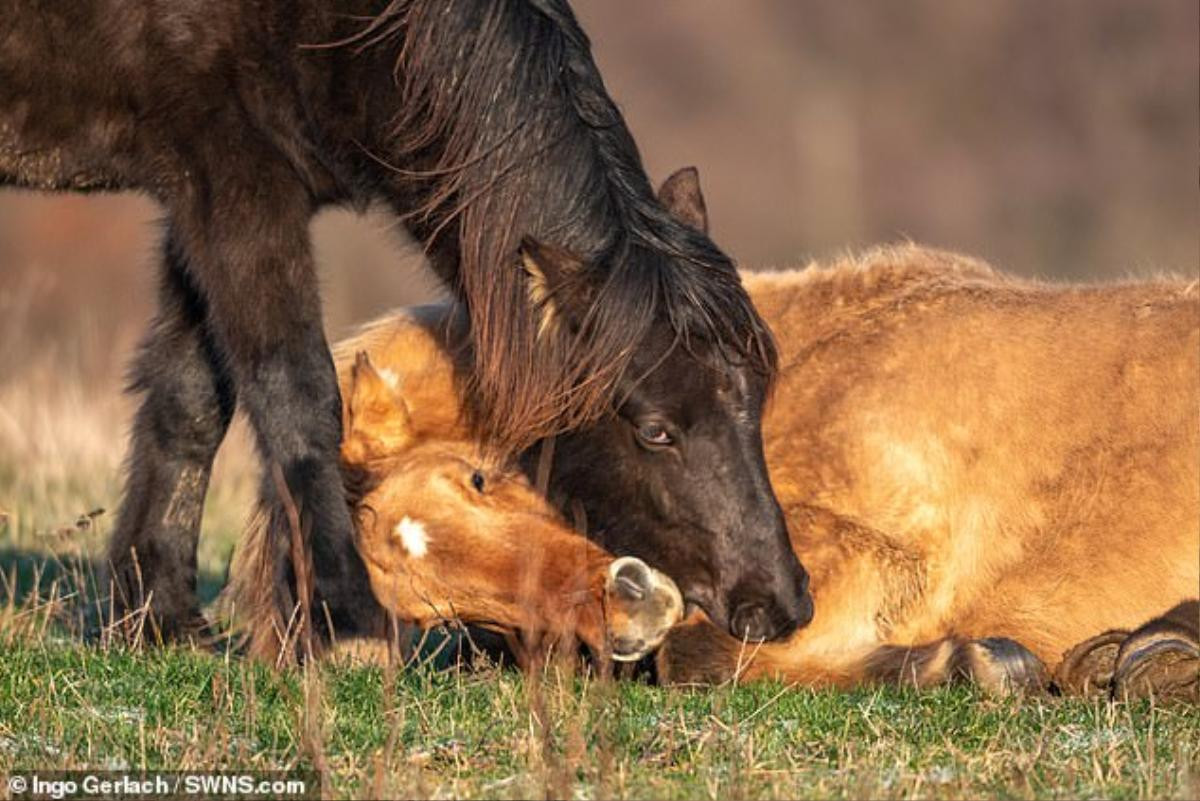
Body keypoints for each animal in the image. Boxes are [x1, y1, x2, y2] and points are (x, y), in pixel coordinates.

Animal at [0, 0, 811, 642]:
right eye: (654, 430)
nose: (781, 603)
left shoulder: (198, 199)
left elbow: (190, 400)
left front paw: (160, 619)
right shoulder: (236, 185)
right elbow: (297, 394)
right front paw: (346, 620)